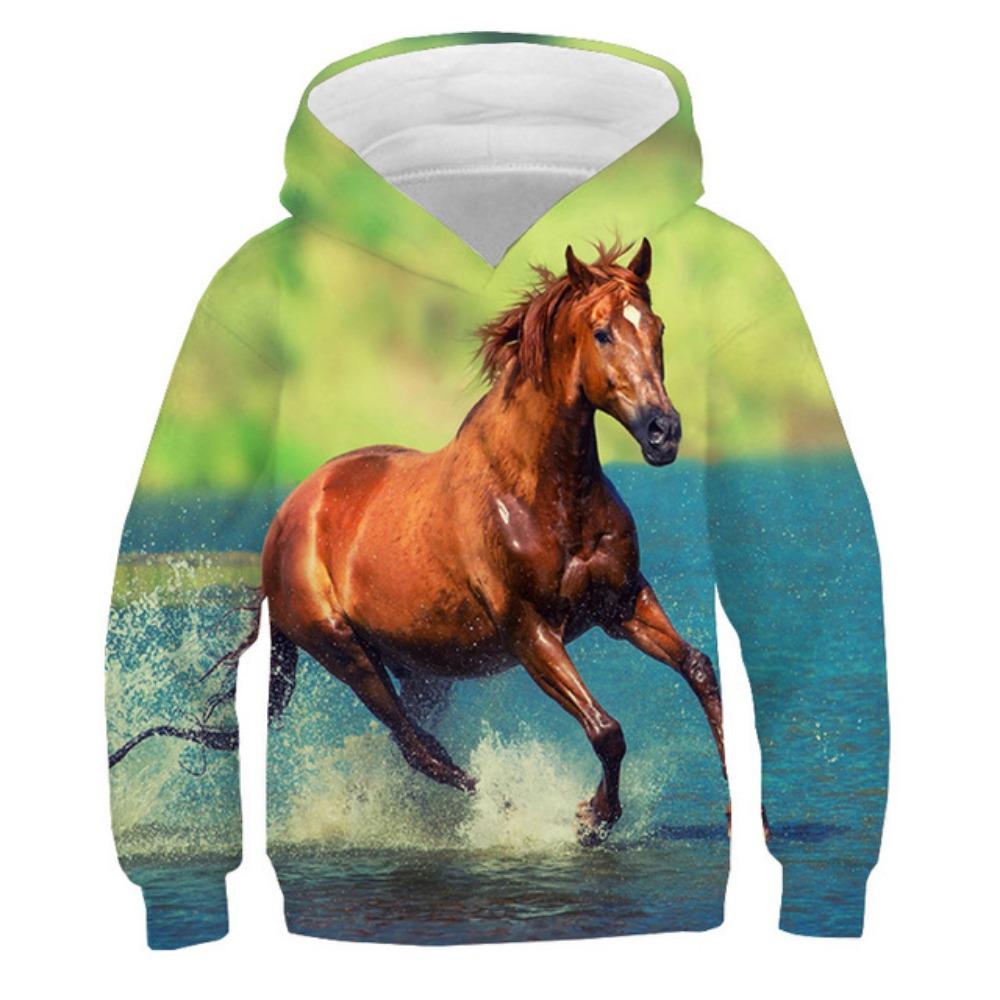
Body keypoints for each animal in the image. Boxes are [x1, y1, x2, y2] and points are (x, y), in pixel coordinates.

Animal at [261, 237, 727, 843]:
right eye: (602, 332)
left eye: (657, 327)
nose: (663, 432)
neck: (543, 494)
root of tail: (287, 519)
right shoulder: (529, 630)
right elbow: (606, 729)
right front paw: (591, 818)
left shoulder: (622, 603)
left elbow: (699, 668)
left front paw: (746, 813)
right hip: (345, 652)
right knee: (419, 748)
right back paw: (504, 809)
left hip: (421, 669)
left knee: (410, 745)